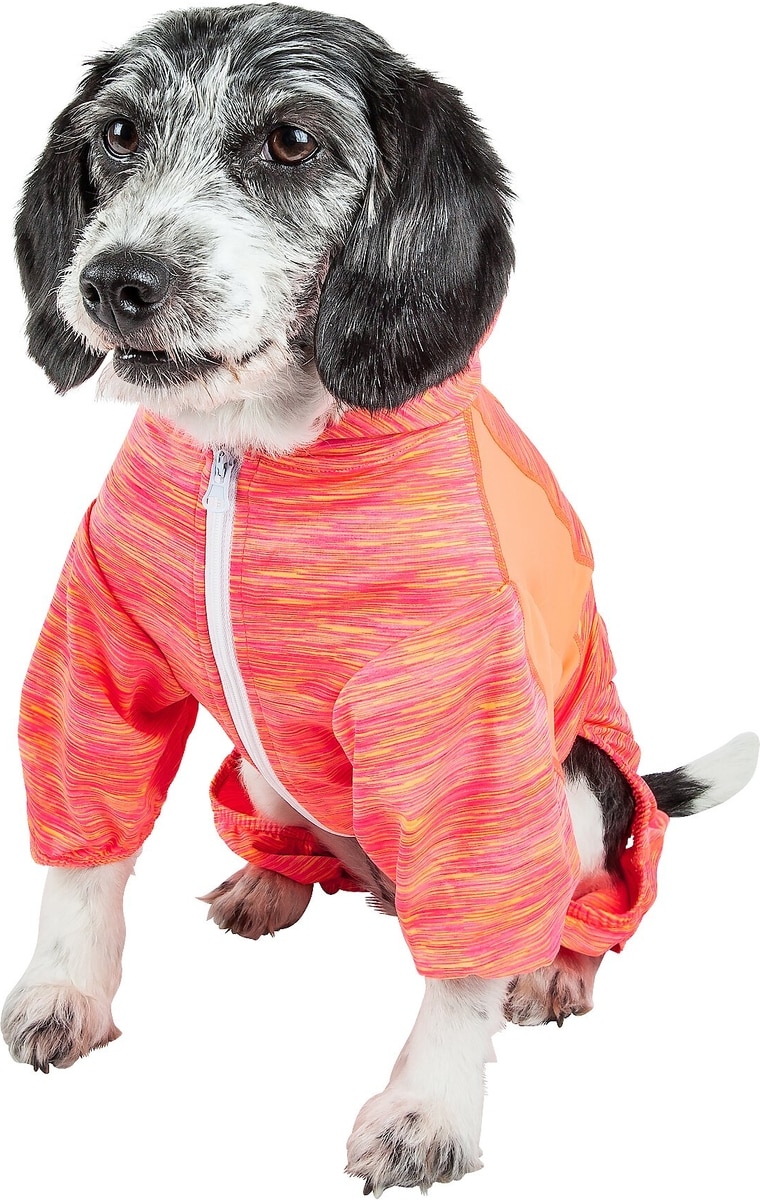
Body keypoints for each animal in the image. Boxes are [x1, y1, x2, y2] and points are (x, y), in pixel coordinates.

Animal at [3, 4, 757, 1194]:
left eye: (292, 142)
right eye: (118, 132)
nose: (117, 280)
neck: (251, 454)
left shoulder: (467, 727)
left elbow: (463, 970)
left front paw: (425, 1111)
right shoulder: (96, 637)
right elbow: (87, 850)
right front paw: (64, 991)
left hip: (583, 788)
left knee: (573, 904)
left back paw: (557, 968)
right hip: (267, 770)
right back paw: (270, 884)